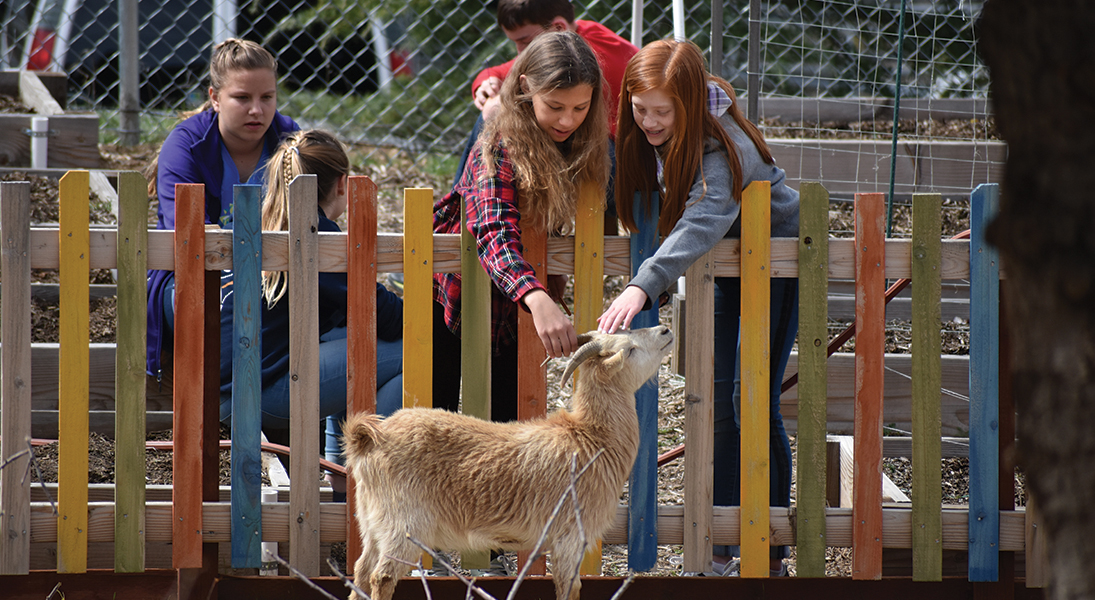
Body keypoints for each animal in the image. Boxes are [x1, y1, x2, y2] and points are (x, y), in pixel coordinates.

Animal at [342, 325, 673, 600]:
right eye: (629, 349)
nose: (665, 330)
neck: (590, 436)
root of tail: (371, 438)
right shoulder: (569, 536)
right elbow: (570, 588)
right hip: (404, 525)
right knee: (381, 577)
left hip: (373, 522)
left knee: (360, 571)